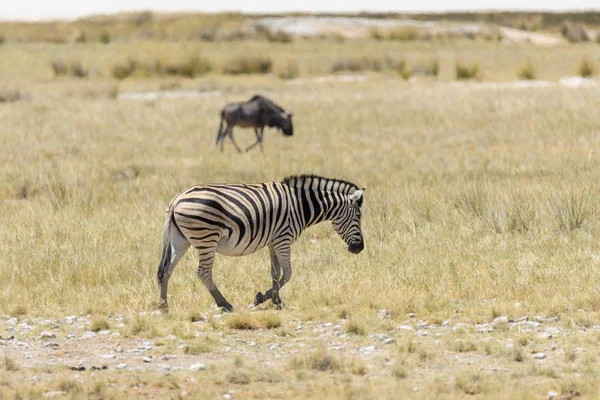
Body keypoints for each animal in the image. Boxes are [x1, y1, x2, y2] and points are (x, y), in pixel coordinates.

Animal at [155, 174, 366, 312]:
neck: (301, 205)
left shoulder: (274, 241)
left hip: (180, 240)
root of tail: (176, 200)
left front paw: (275, 300)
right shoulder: (283, 238)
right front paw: (262, 299)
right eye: (358, 216)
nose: (359, 248)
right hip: (207, 237)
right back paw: (225, 304)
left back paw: (163, 305)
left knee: (166, 270)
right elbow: (287, 274)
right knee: (203, 272)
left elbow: (275, 273)